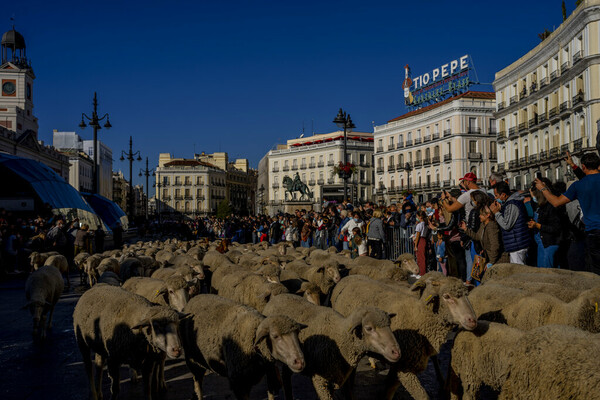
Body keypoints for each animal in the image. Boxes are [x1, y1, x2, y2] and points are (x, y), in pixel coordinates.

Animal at [180, 294, 308, 400]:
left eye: (297, 333)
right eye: (275, 336)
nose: (300, 362)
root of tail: (193, 299)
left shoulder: (269, 373)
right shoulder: (239, 384)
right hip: (192, 361)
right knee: (198, 384)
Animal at [330, 272, 476, 400]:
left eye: (466, 295)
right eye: (446, 296)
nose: (472, 320)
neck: (420, 317)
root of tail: (347, 279)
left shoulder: (399, 366)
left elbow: (388, 389)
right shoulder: (404, 369)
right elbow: (422, 396)